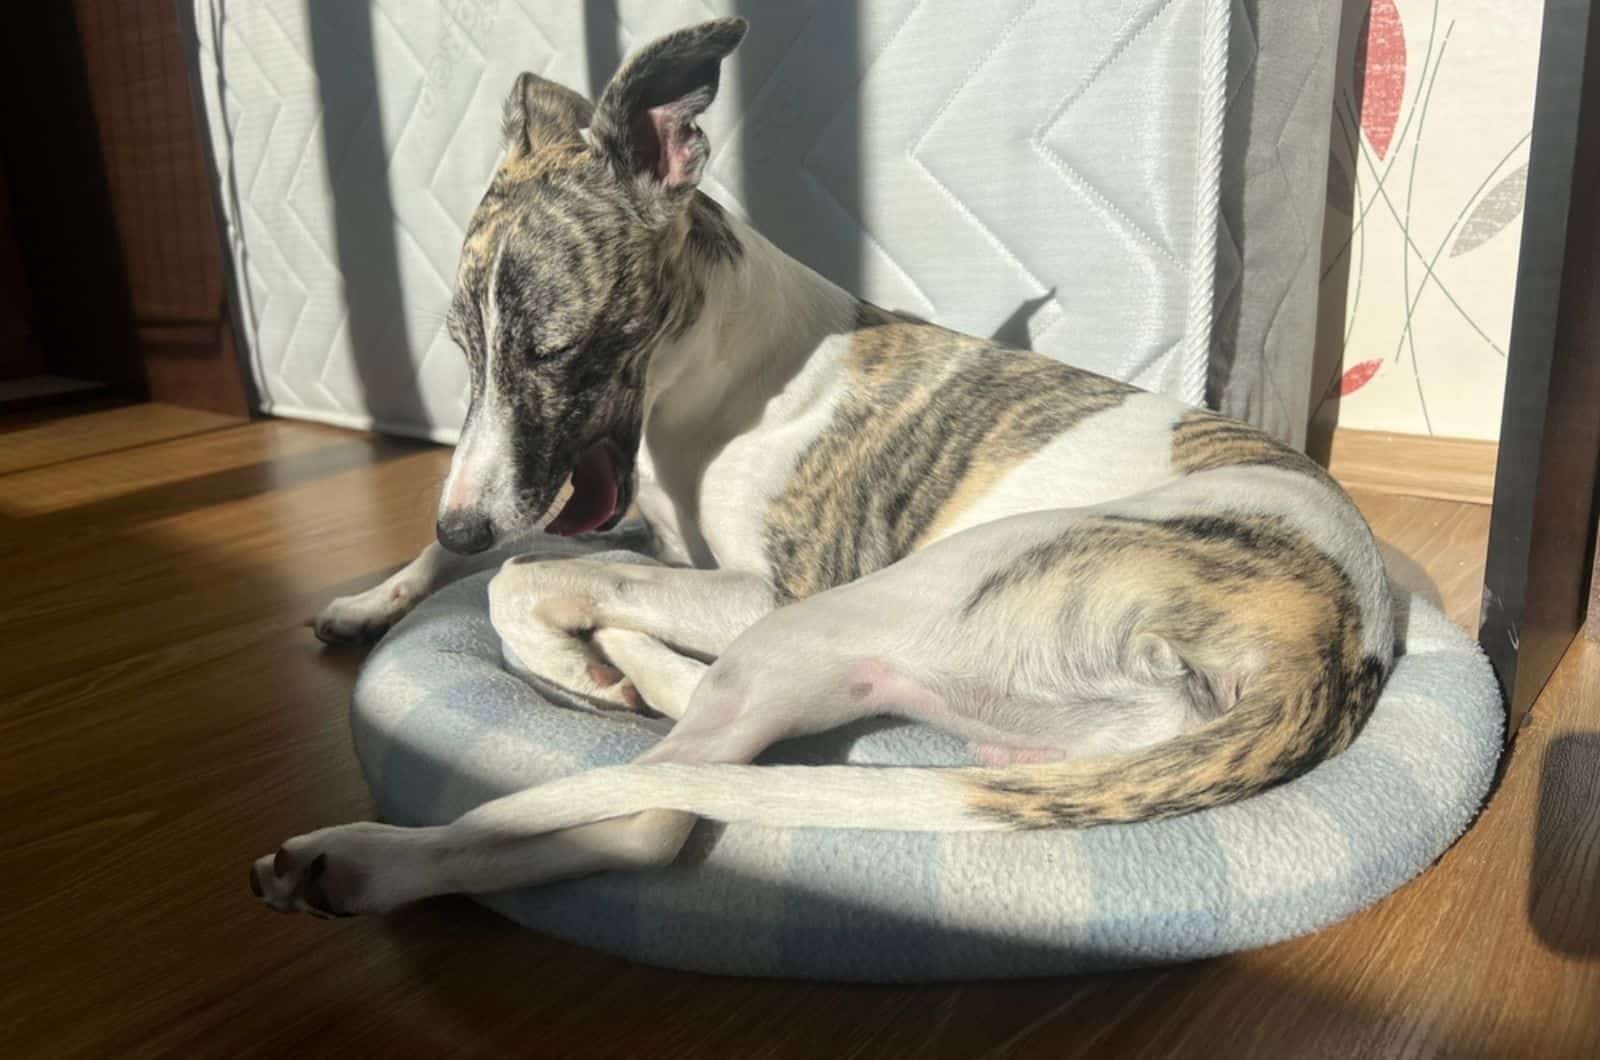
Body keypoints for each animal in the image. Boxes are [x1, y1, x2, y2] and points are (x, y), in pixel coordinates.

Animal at [249, 22, 1388, 922]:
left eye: (554, 349)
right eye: (459, 347)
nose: (462, 524)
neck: (723, 371)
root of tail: (1332, 652)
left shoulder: (766, 585)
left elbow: (524, 578)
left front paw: (560, 652)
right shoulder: (610, 516)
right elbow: (506, 560)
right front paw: (373, 597)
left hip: (840, 617)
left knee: (649, 809)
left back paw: (362, 852)